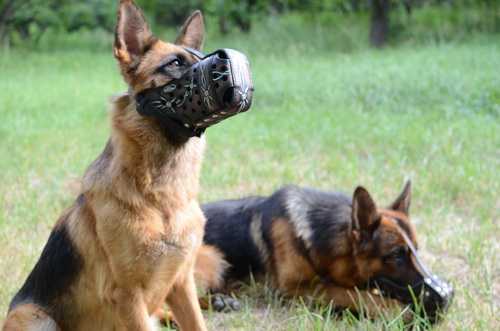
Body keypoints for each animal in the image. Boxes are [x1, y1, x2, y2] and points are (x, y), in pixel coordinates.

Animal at [2, 1, 209, 330]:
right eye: (175, 63)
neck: (161, 196)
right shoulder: (126, 294)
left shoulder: (181, 283)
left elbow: (197, 322)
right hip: (33, 316)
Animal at [191, 182, 454, 324]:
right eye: (396, 255)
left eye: (415, 250)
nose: (445, 299)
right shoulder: (293, 289)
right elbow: (353, 294)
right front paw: (402, 313)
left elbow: (359, 290)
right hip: (211, 257)